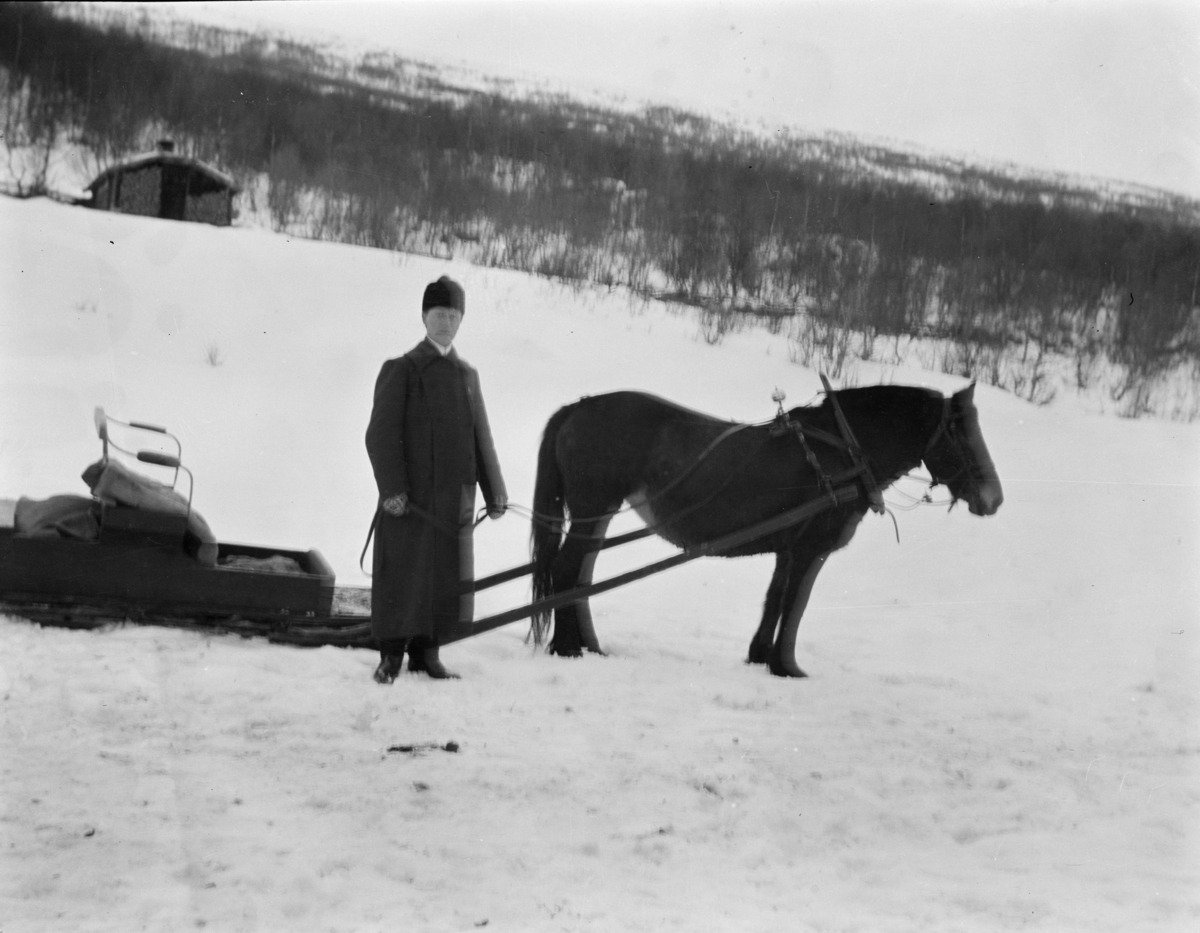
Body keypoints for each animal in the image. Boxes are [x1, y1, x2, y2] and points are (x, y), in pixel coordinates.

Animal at [530, 378, 998, 676]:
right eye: (959, 433)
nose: (993, 498)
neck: (843, 453)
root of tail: (579, 406)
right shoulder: (810, 548)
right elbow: (795, 604)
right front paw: (785, 667)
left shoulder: (789, 549)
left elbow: (775, 599)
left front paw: (759, 657)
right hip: (593, 504)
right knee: (567, 569)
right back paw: (567, 647)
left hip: (599, 512)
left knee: (581, 573)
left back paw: (587, 644)